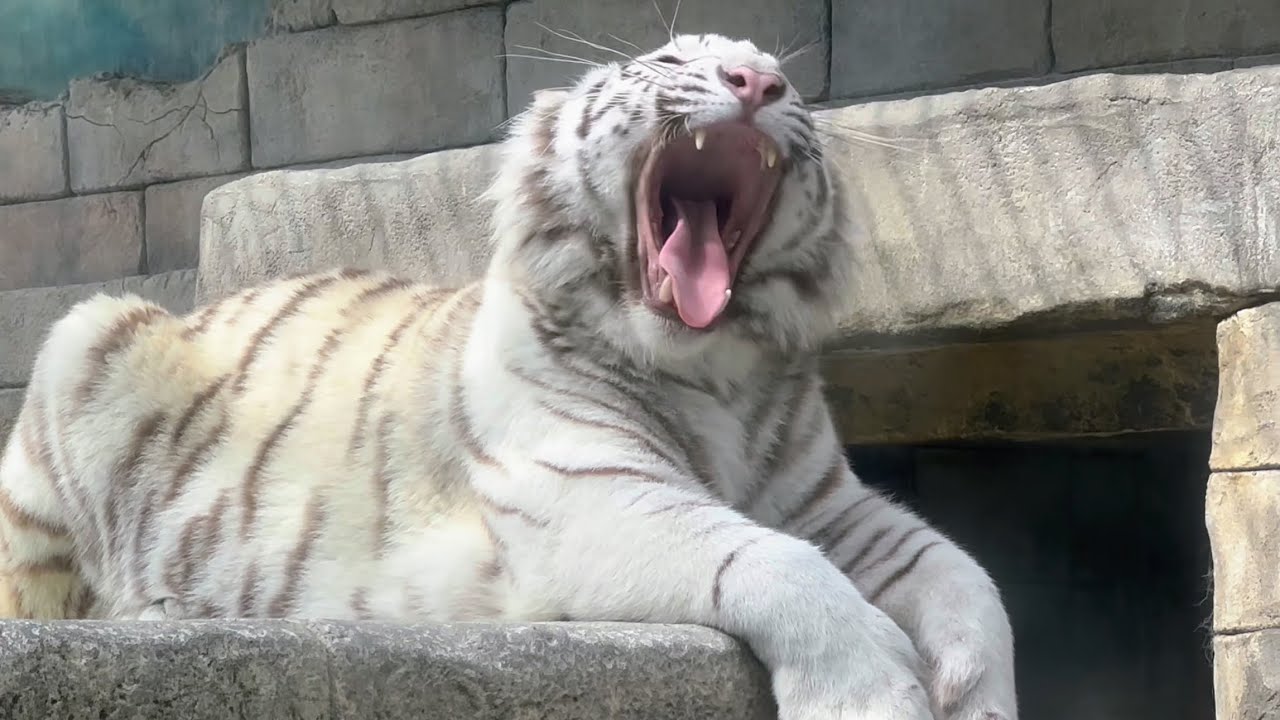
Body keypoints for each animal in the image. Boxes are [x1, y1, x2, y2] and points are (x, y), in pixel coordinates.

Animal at [0, 33, 1016, 720]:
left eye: (785, 77)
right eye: (672, 56)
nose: (756, 82)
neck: (721, 373)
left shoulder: (830, 505)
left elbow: (964, 575)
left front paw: (974, 690)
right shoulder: (590, 491)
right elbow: (771, 561)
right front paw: (873, 691)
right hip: (87, 340)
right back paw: (155, 608)